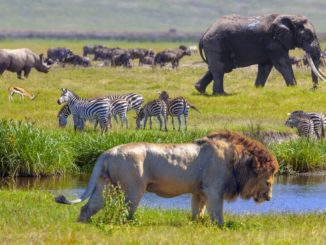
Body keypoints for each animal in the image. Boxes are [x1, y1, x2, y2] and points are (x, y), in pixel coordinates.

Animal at [55, 131, 278, 225]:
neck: (237, 160)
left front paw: (196, 225)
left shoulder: (199, 191)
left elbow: (197, 211)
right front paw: (220, 227)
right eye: (268, 179)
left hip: (105, 186)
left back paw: (82, 224)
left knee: (88, 207)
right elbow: (217, 213)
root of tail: (108, 152)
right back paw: (131, 225)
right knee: (126, 213)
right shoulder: (214, 190)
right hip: (133, 189)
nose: (269, 198)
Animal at [195, 13, 324, 95]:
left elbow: (265, 67)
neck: (290, 17)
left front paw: (258, 89)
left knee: (219, 68)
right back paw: (221, 94)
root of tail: (205, 33)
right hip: (215, 44)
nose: (312, 90)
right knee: (219, 69)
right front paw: (293, 88)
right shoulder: (273, 42)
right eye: (308, 35)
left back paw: (200, 90)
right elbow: (282, 64)